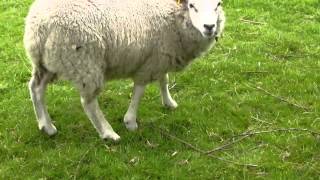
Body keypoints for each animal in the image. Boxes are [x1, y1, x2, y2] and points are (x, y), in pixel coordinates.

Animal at [24, 0, 225, 141]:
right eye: (192, 5)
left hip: (46, 62)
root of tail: (39, 24)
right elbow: (139, 91)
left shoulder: (159, 55)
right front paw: (130, 122)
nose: (209, 27)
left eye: (218, 4)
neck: (173, 16)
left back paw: (46, 126)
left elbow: (164, 79)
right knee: (88, 102)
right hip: (85, 63)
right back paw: (108, 133)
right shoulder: (149, 63)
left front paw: (169, 102)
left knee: (36, 88)